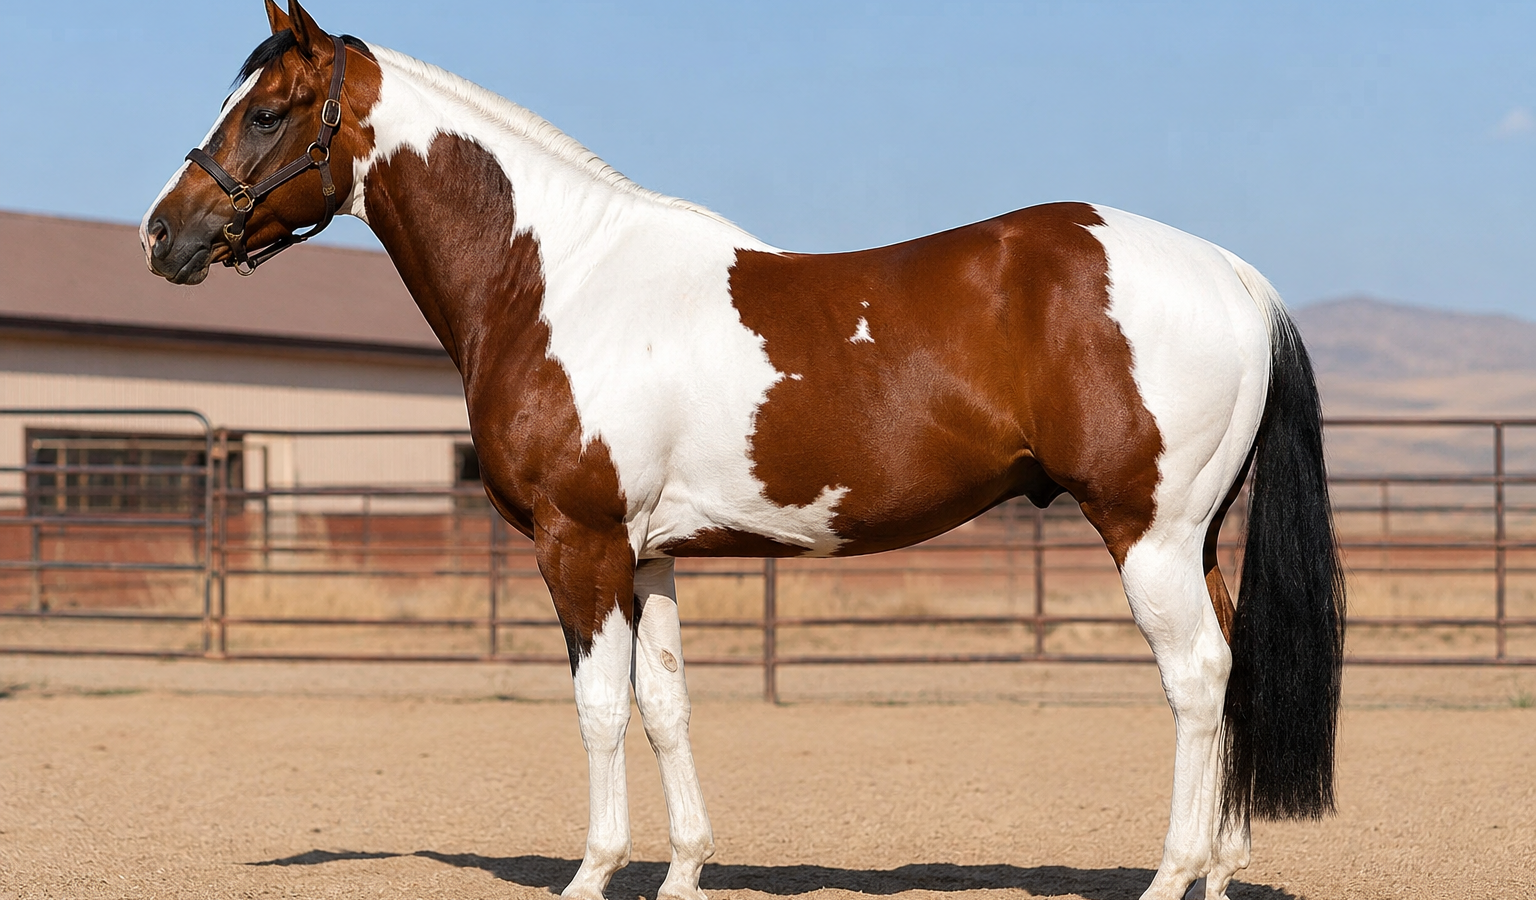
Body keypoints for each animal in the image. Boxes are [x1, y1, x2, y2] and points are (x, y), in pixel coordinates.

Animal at [141, 4, 1345, 899]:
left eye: (269, 112)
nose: (164, 234)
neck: (555, 280)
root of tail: (1238, 276)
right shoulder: (649, 554)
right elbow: (666, 705)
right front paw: (683, 871)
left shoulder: (578, 546)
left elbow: (598, 707)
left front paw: (593, 872)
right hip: (1196, 536)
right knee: (1231, 670)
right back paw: (1221, 870)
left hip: (1149, 532)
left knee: (1197, 678)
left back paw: (1172, 873)